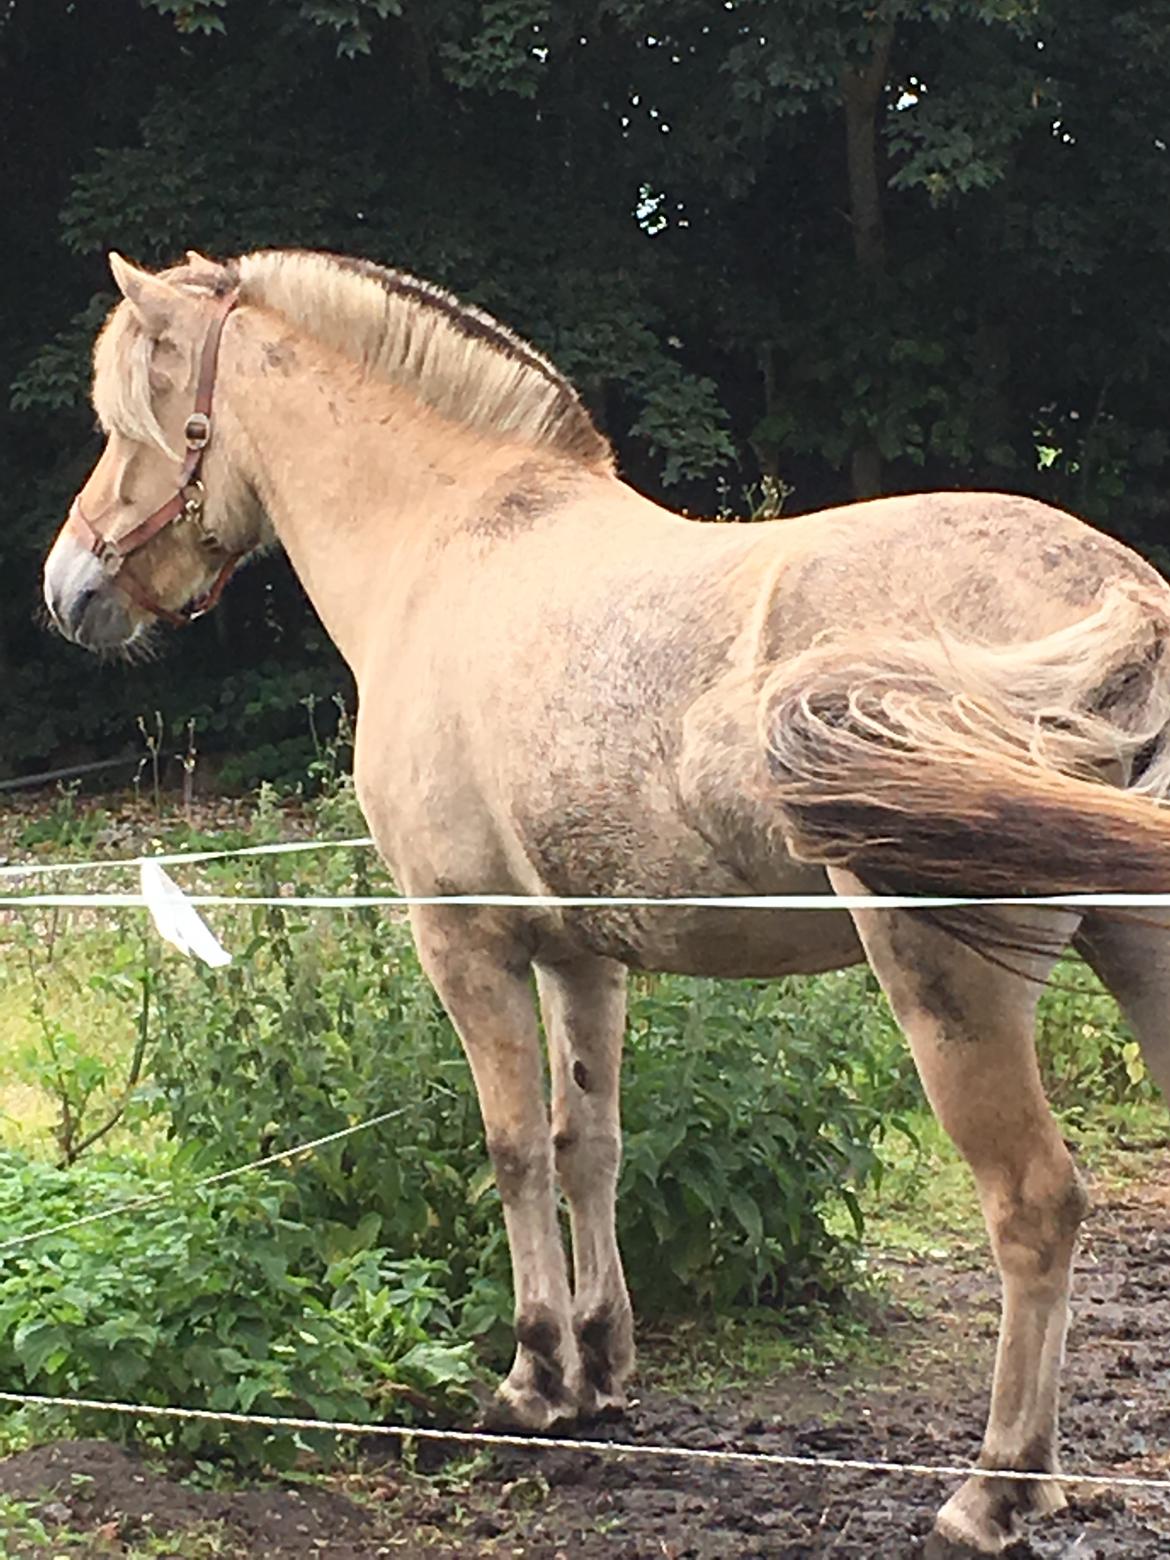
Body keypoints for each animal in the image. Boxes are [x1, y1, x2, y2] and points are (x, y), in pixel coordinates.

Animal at [41, 249, 1170, 1553]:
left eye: (130, 418)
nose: (67, 588)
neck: (445, 546)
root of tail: (1124, 596)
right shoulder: (584, 956)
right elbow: (592, 1145)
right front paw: (601, 1366)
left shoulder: (465, 942)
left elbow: (514, 1146)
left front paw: (532, 1377)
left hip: (950, 985)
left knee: (1035, 1205)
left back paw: (996, 1488)